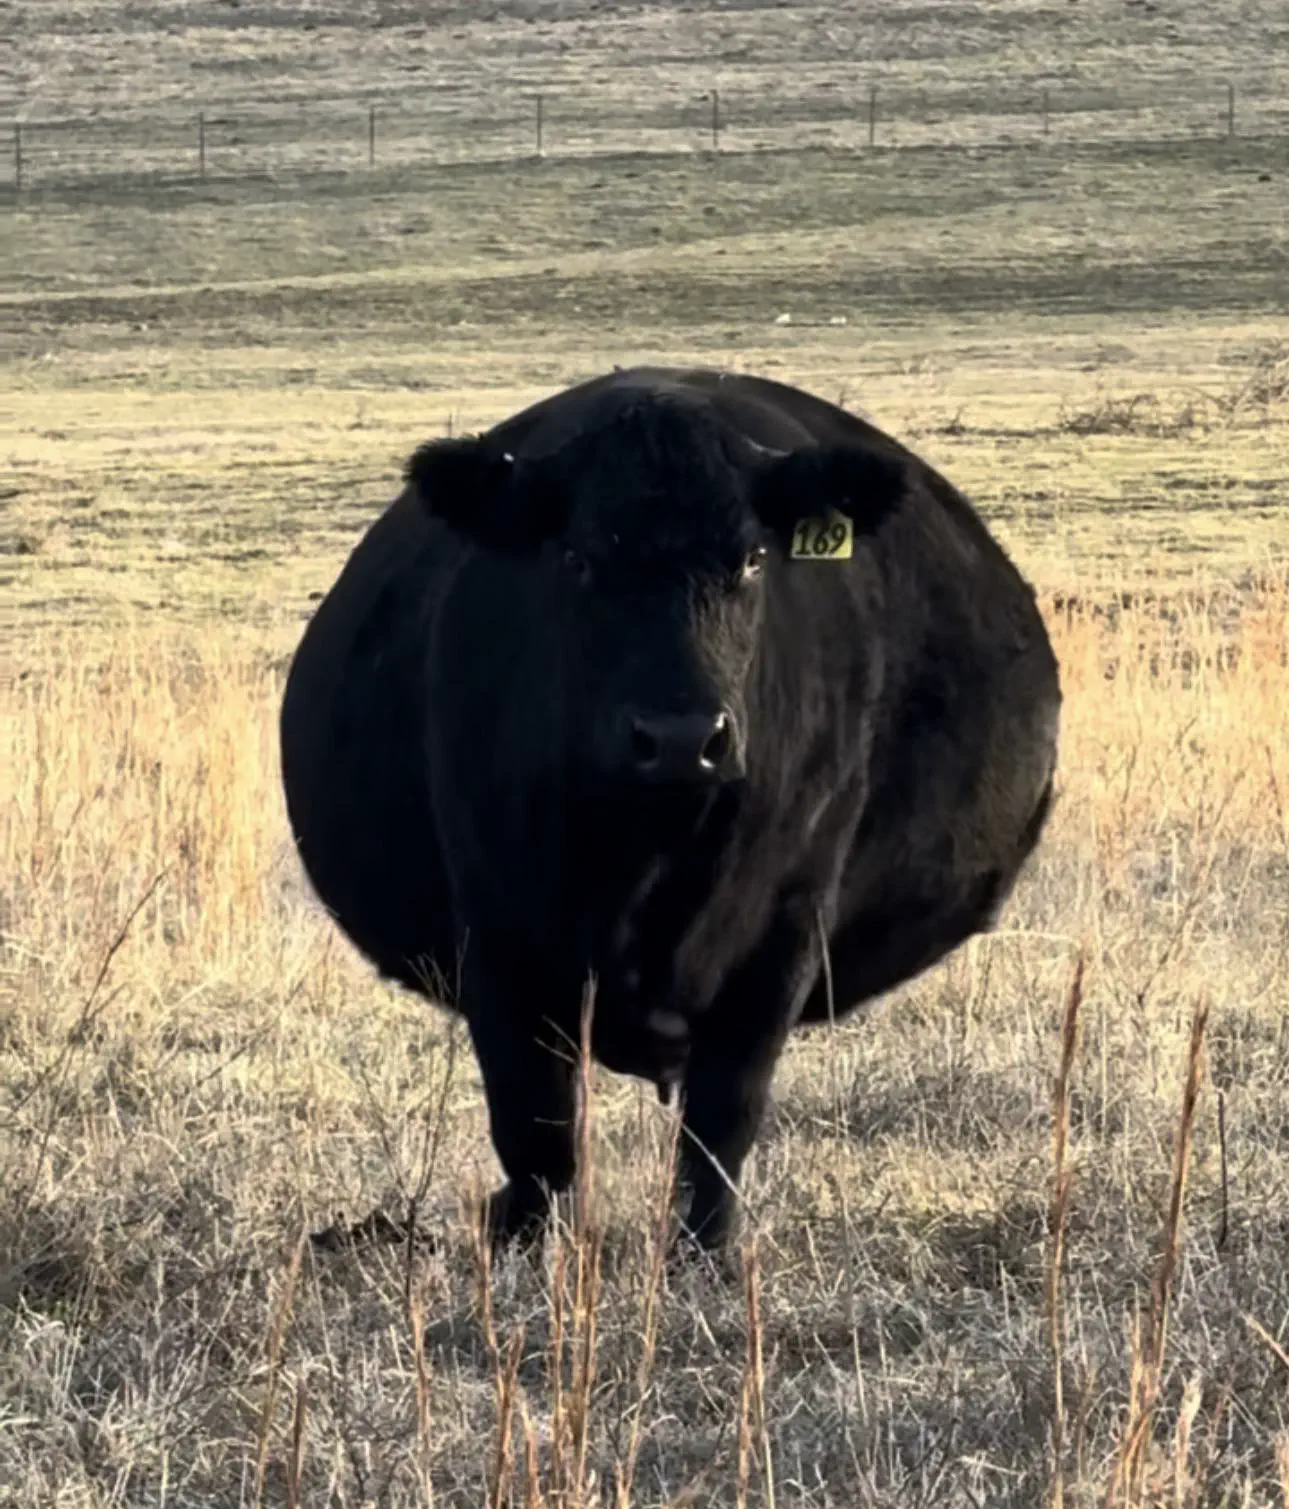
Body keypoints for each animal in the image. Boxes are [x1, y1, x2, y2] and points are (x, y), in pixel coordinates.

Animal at [279, 366, 1060, 1254]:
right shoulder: (498, 933)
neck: (647, 863)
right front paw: (522, 1243)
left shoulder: (784, 930)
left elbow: (721, 1123)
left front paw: (705, 1255)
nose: (682, 738)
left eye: (752, 558)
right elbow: (535, 1127)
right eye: (578, 558)